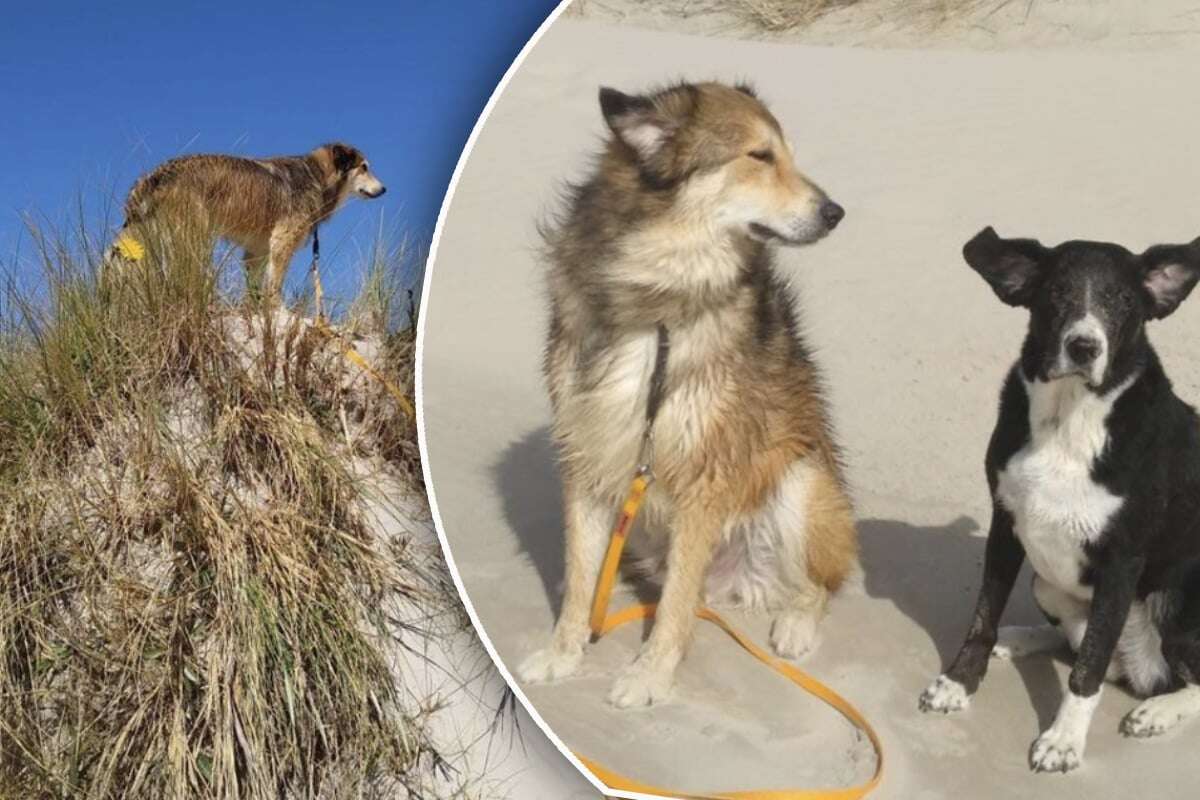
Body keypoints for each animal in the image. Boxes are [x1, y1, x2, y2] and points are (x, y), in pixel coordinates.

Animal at [921, 227, 1200, 772]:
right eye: (1055, 293)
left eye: (1122, 300)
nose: (1084, 346)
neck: (1071, 416)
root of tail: (1139, 667)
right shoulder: (1005, 525)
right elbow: (983, 616)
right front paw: (959, 682)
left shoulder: (1122, 560)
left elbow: (1088, 666)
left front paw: (1064, 740)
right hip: (1044, 577)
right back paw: (1020, 638)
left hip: (1178, 598)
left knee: (1180, 677)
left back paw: (1157, 710)